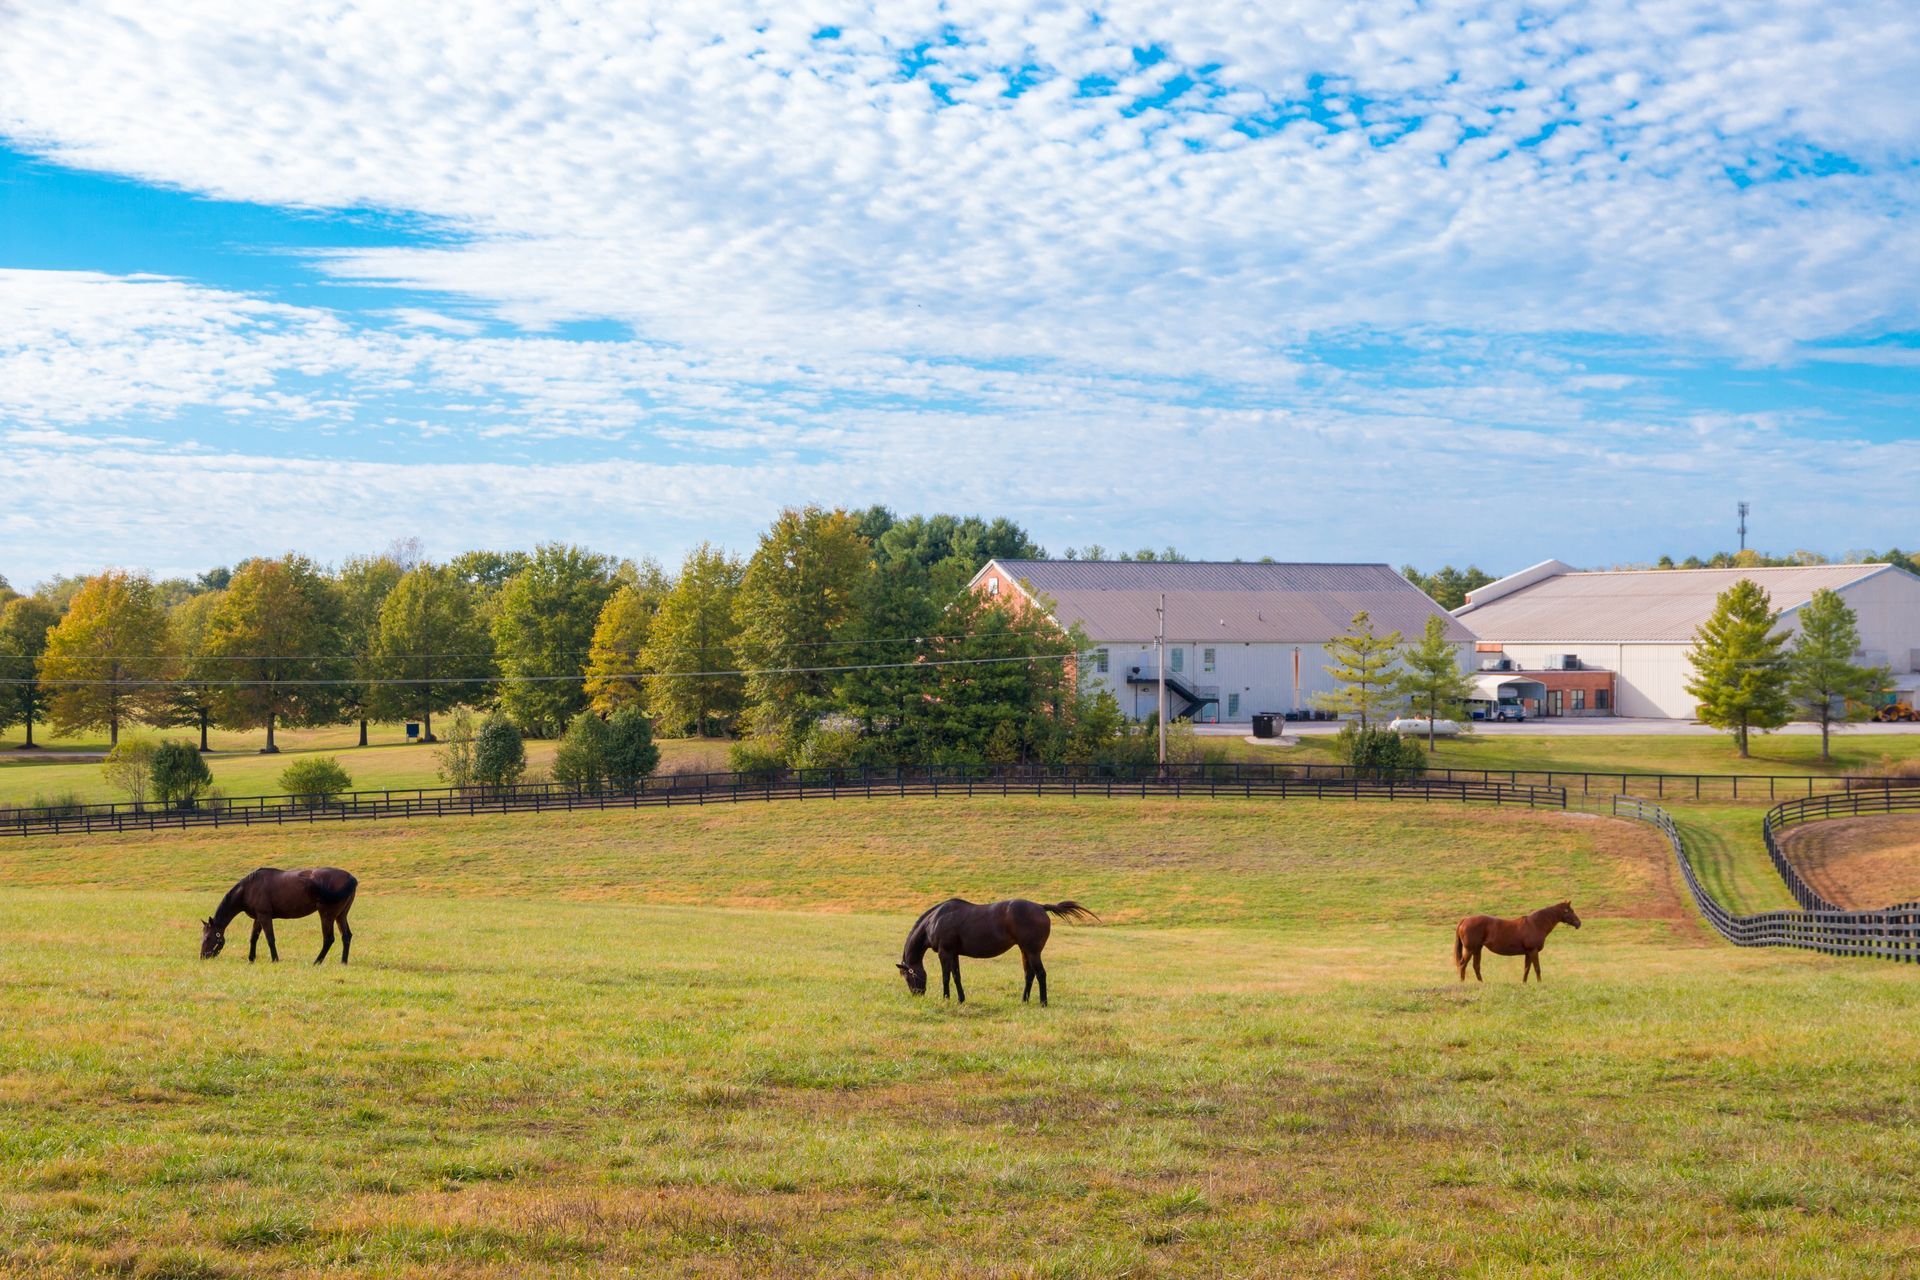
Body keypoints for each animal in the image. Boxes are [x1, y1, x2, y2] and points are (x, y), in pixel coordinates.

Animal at [204, 867, 360, 967]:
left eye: (207, 937)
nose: (203, 957)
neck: (249, 888)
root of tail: (351, 878)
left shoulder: (265, 916)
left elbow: (270, 939)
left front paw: (275, 959)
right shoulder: (258, 918)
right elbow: (253, 938)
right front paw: (251, 959)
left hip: (327, 915)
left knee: (328, 939)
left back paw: (317, 962)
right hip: (341, 916)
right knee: (346, 936)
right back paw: (343, 962)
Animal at [890, 898, 1090, 1005]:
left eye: (907, 976)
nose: (917, 994)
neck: (935, 920)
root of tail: (1041, 907)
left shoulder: (944, 952)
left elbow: (946, 976)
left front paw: (946, 998)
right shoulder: (954, 953)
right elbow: (956, 976)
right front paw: (961, 999)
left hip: (1033, 951)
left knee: (1040, 974)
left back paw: (1043, 1002)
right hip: (1024, 950)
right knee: (1029, 974)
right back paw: (1024, 1000)